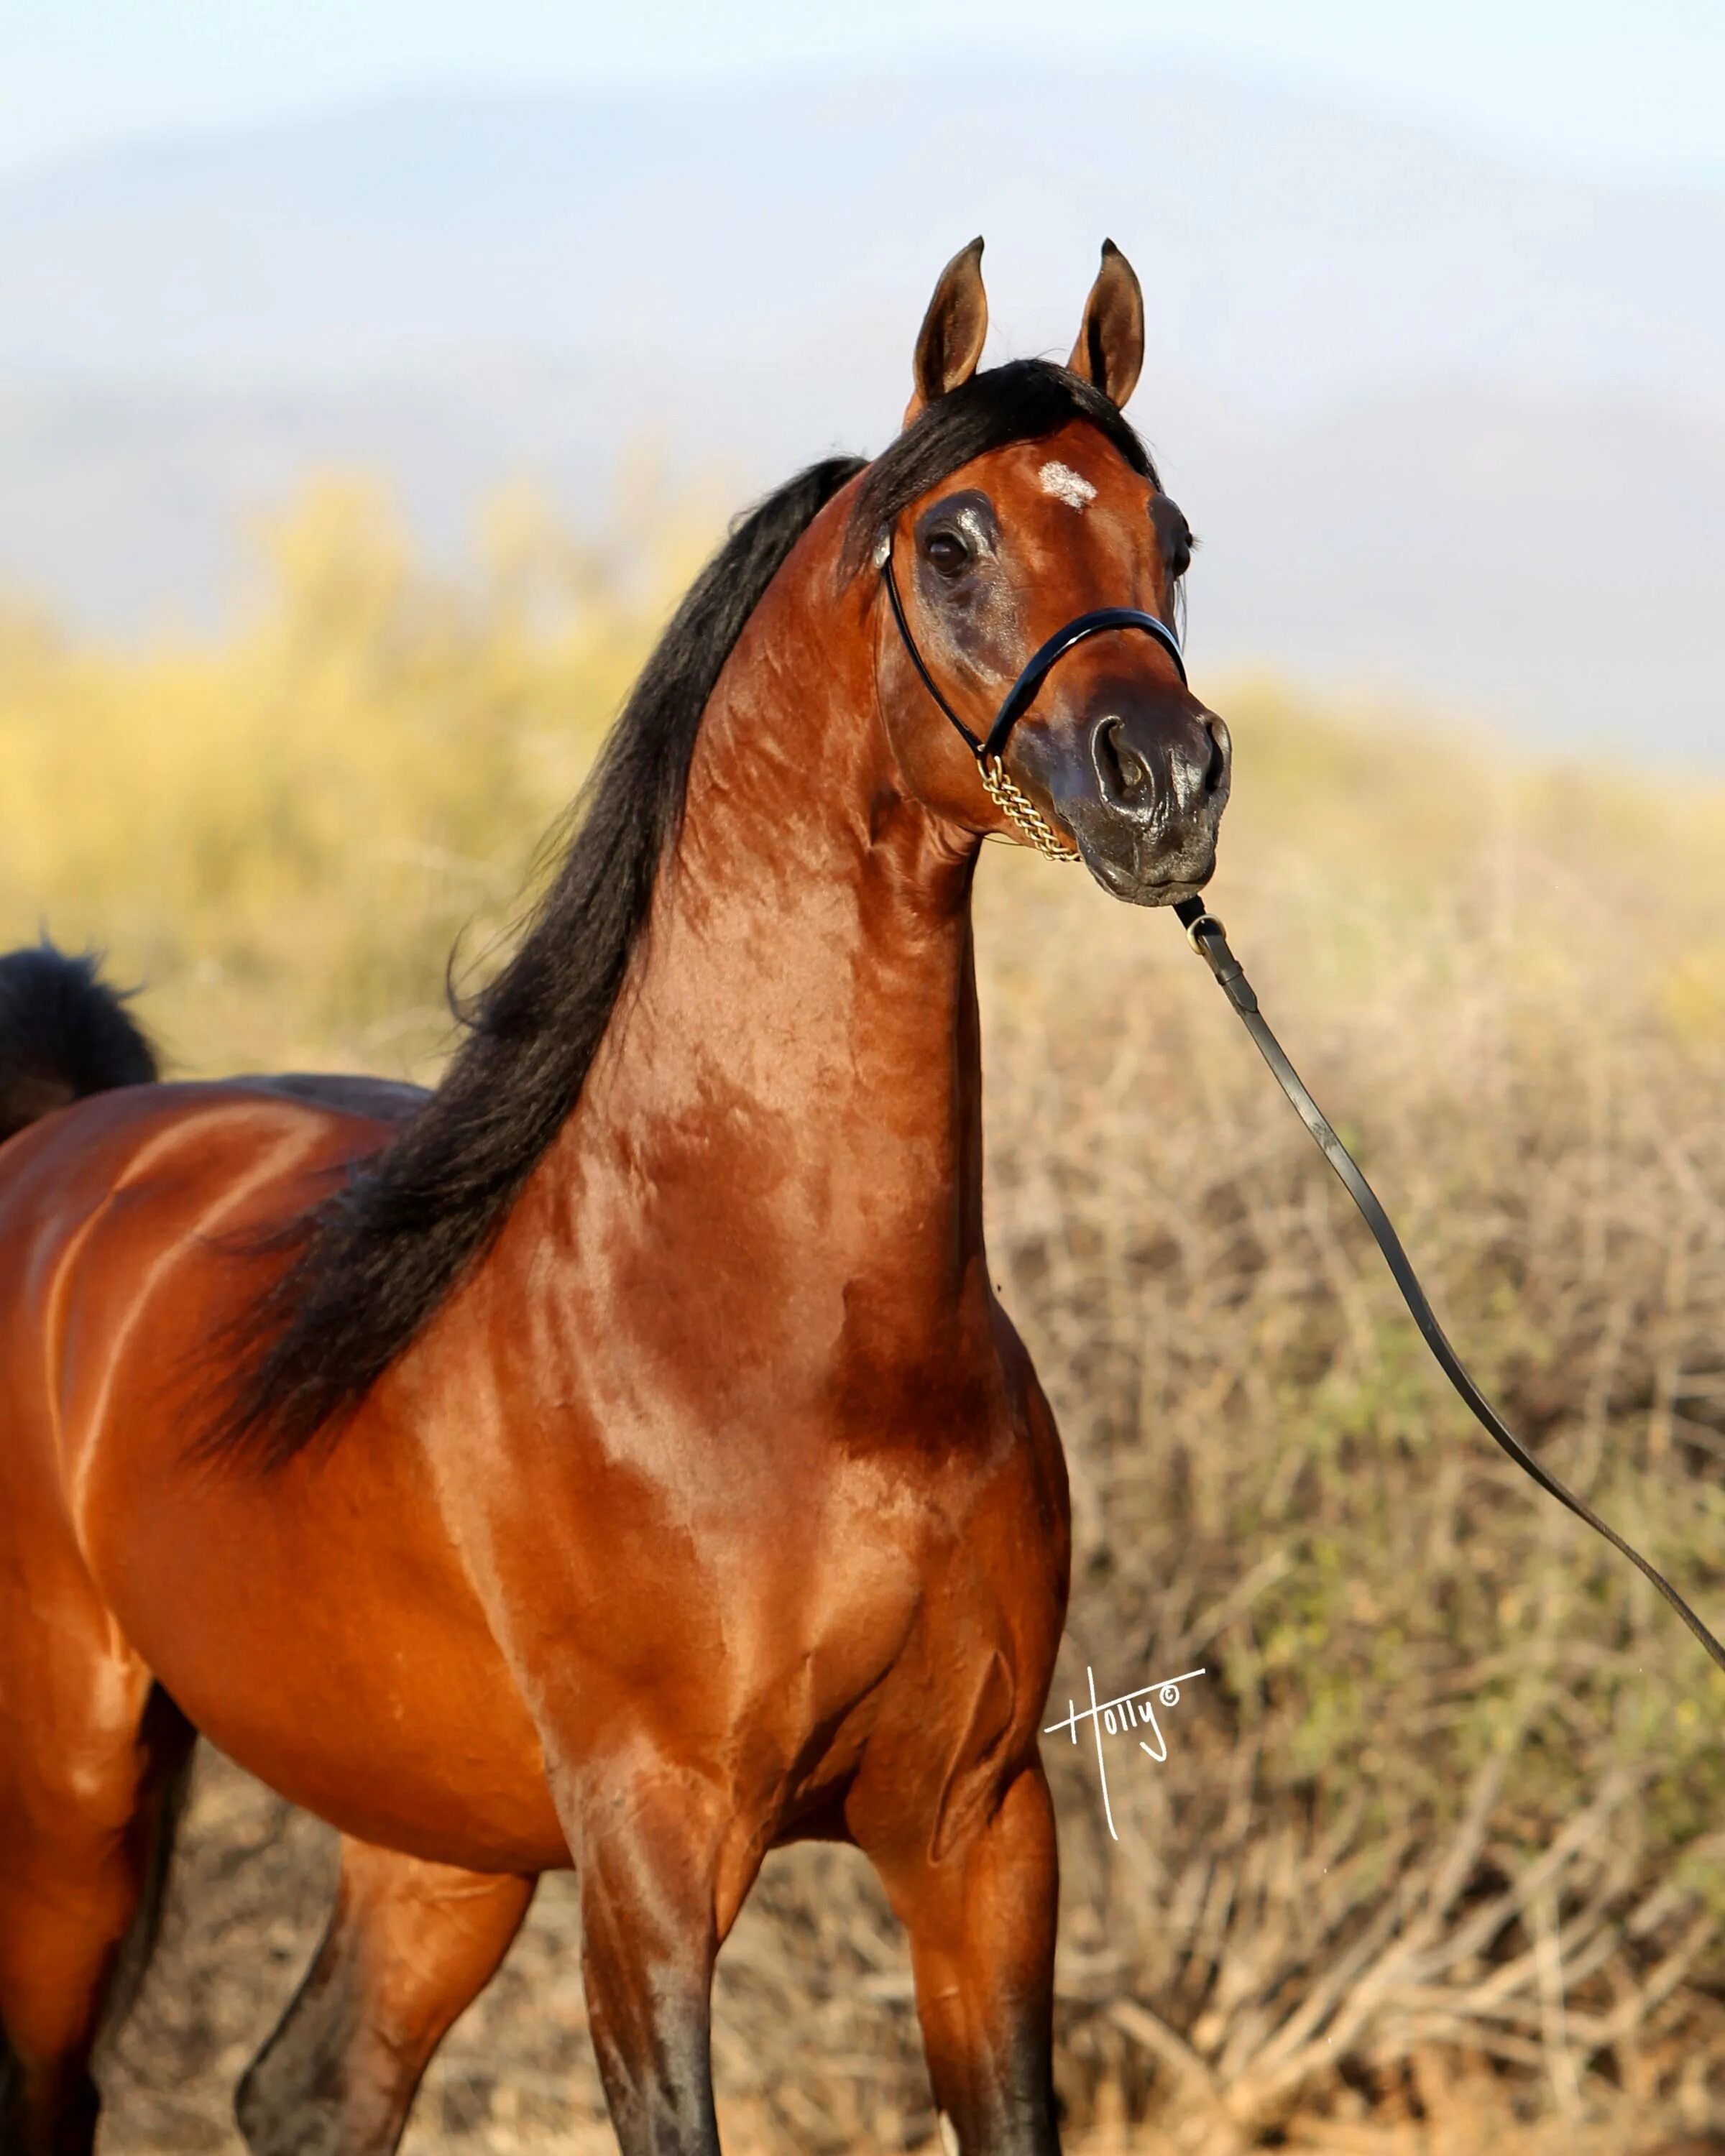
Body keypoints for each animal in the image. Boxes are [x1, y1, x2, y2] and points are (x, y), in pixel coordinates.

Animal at [0, 240, 1225, 2156]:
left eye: (1169, 539)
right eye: (954, 538)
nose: (1164, 784)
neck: (793, 1346)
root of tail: (59, 1148)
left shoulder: (977, 1835)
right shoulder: (654, 1861)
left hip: (431, 1833)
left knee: (311, 2087)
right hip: (71, 1804)